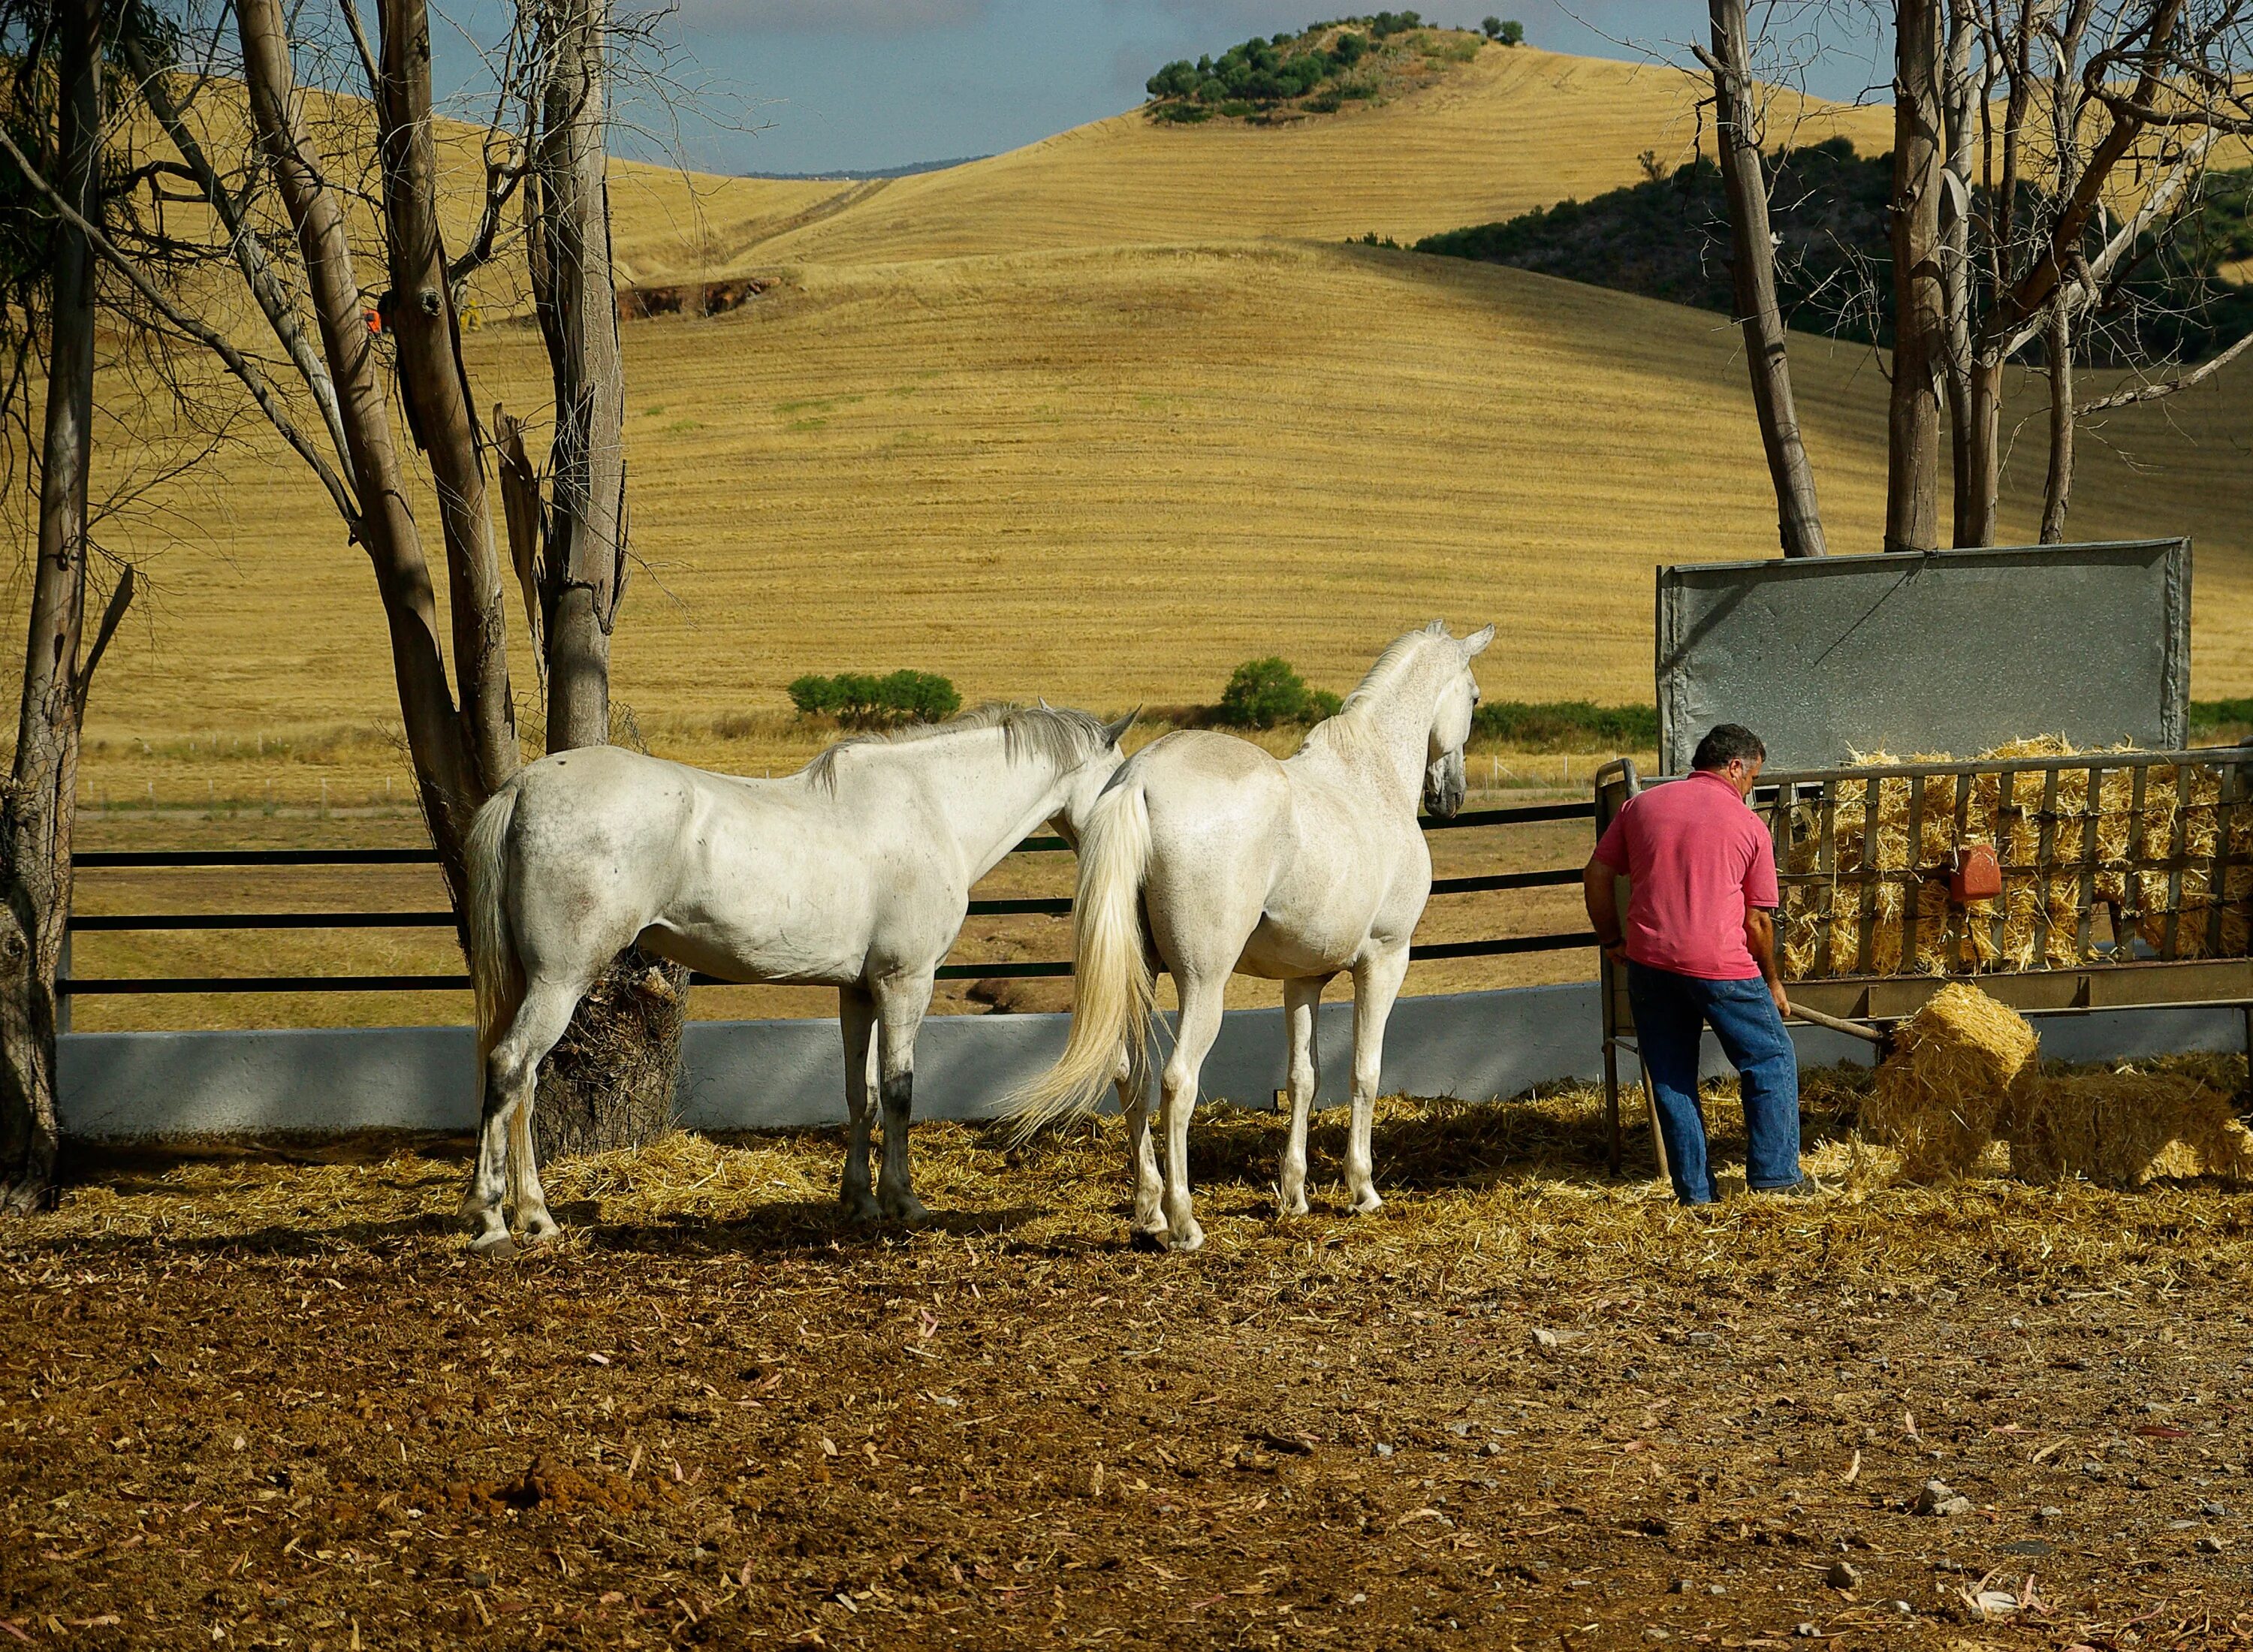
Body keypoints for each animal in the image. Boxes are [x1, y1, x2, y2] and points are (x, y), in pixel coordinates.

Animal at [460, 698, 1136, 1253]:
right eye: (1120, 779)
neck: (931, 806)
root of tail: (524, 787)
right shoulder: (905, 982)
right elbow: (900, 1091)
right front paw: (904, 1201)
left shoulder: (858, 990)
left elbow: (861, 1094)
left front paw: (860, 1201)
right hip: (560, 982)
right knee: (511, 1067)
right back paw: (492, 1221)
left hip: (534, 984)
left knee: (523, 1085)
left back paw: (535, 1216)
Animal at [1014, 622, 1487, 1253]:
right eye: (1475, 699)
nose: (1450, 796)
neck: (1371, 779)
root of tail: (1139, 780)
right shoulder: (1385, 960)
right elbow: (1365, 1072)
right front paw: (1362, 1190)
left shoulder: (1303, 980)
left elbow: (1303, 1079)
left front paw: (1294, 1196)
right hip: (1203, 985)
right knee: (1176, 1082)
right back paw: (1184, 1224)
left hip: (1141, 978)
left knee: (1131, 1076)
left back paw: (1148, 1215)